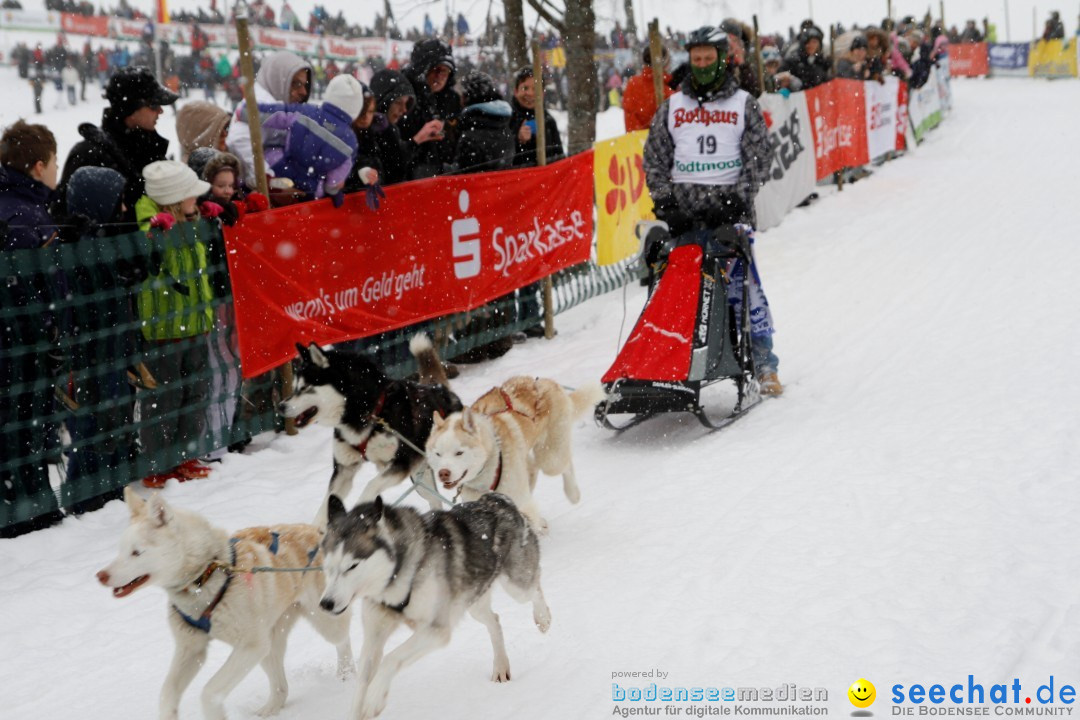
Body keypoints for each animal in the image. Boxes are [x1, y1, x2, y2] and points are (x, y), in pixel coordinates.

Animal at [278, 334, 460, 526]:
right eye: (295, 387)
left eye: (305, 388)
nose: (280, 406)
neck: (367, 411)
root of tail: (439, 389)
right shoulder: (344, 470)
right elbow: (326, 503)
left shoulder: (401, 463)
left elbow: (370, 485)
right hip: (420, 479)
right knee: (434, 500)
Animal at [317, 496, 552, 720]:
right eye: (327, 567)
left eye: (352, 566)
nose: (325, 603)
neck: (396, 579)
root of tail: (497, 499)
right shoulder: (375, 634)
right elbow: (363, 679)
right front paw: (359, 708)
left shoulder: (436, 630)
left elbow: (391, 658)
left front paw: (374, 699)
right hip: (473, 603)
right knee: (494, 620)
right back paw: (501, 666)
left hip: (517, 585)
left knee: (535, 586)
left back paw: (543, 618)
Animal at [423, 379, 609, 533]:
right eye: (438, 454)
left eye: (459, 452)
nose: (443, 473)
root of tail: (545, 382)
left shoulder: (521, 501)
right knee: (533, 468)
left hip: (550, 458)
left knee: (564, 464)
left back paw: (573, 493)